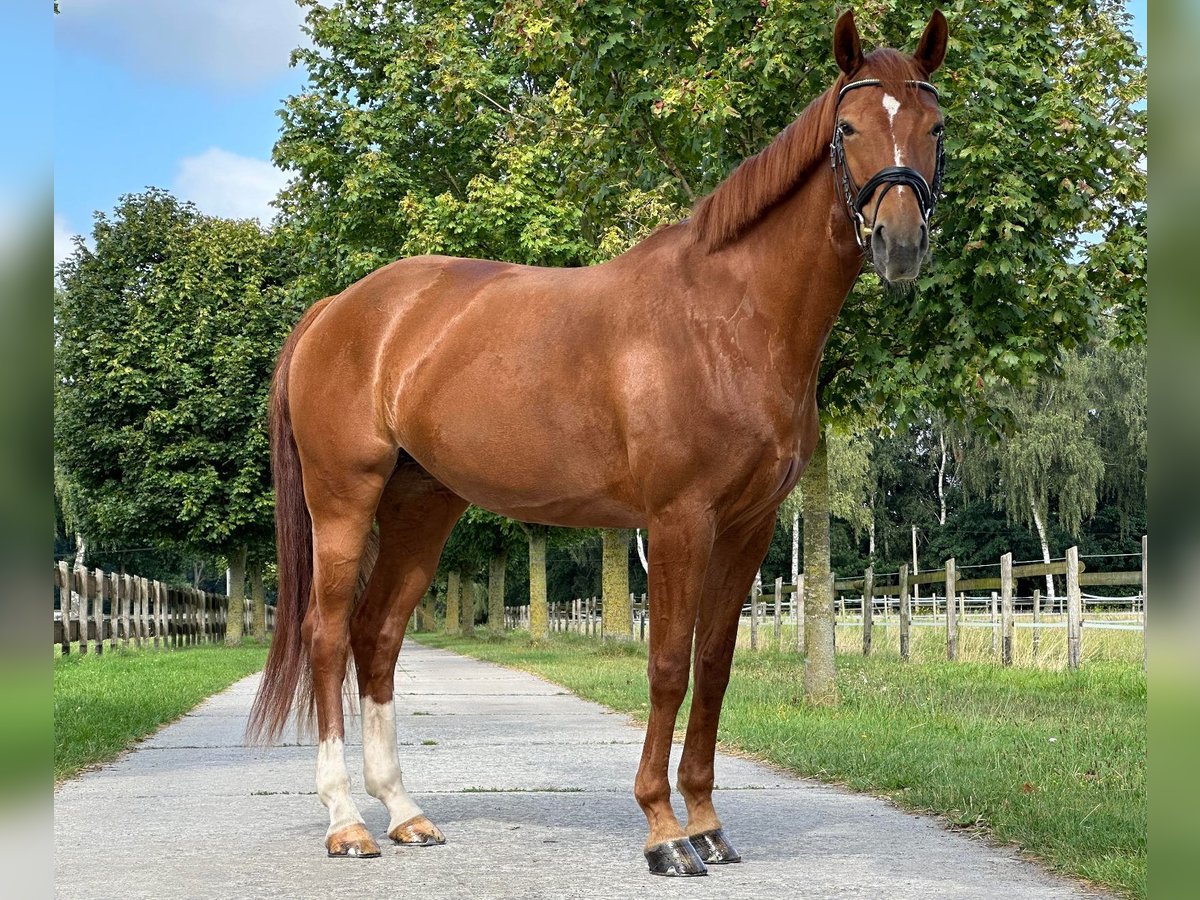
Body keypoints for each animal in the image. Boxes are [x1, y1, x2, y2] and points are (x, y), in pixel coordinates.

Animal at [250, 8, 945, 883]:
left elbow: (715, 665)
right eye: (848, 128)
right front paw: (664, 832)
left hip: (422, 506)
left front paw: (708, 822)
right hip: (344, 499)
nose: (899, 243)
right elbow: (668, 665)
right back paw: (346, 822)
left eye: (934, 125)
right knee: (328, 635)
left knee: (377, 636)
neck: (726, 318)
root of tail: (338, 309)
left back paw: (406, 814)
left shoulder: (748, 526)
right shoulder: (679, 519)